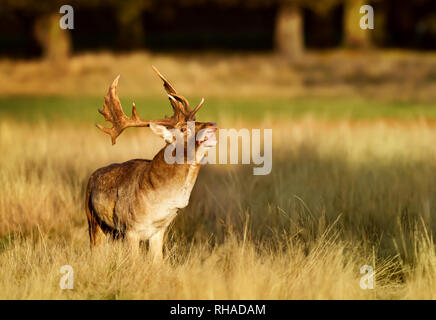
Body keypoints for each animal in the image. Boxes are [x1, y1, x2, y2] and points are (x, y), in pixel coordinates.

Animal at [84, 66, 217, 262]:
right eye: (183, 128)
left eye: (198, 120)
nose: (213, 125)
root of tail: (92, 176)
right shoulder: (130, 228)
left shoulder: (159, 230)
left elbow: (157, 262)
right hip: (92, 219)